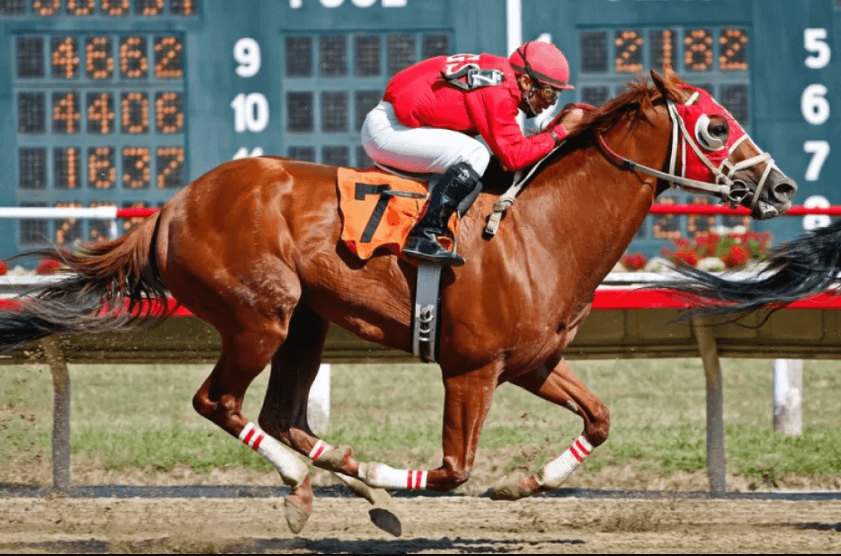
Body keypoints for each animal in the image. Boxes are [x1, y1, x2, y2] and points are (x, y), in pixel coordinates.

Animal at [0, 68, 796, 535]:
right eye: (716, 125)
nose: (782, 186)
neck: (539, 230)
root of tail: (171, 207)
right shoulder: (470, 369)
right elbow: (451, 471)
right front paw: (396, 485)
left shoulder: (533, 363)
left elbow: (599, 420)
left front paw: (524, 484)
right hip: (262, 314)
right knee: (218, 402)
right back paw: (315, 484)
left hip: (306, 322)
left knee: (281, 415)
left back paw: (337, 474)